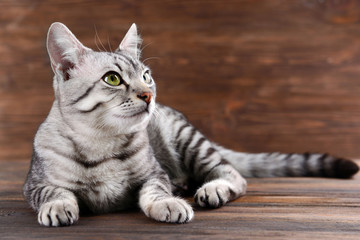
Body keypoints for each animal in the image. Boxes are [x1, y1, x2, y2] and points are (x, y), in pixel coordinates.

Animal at [22, 22, 358, 227]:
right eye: (113, 79)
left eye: (146, 75)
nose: (148, 95)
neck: (102, 143)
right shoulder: (34, 184)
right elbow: (54, 192)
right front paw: (57, 206)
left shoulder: (155, 174)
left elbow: (155, 191)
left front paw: (169, 204)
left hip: (188, 140)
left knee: (234, 176)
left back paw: (211, 189)